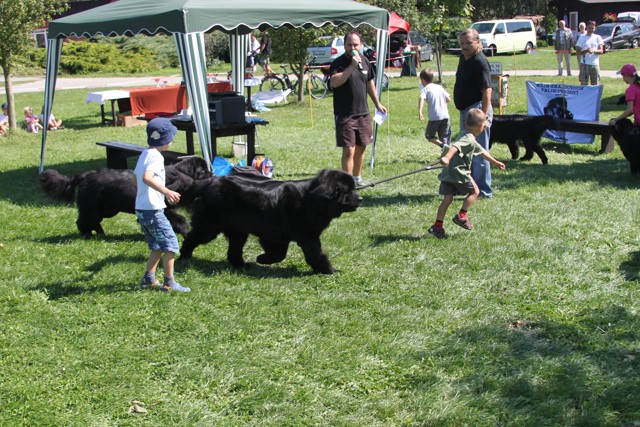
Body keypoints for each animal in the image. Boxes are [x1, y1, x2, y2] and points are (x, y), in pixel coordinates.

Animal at [40, 156, 212, 237]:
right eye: (203, 171)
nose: (213, 174)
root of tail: (84, 175)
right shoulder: (165, 210)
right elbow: (181, 220)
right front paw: (186, 232)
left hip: (107, 209)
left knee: (92, 221)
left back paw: (100, 233)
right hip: (93, 206)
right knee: (84, 220)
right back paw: (87, 235)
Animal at [180, 169, 362, 274]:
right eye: (348, 191)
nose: (360, 199)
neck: (310, 200)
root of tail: (211, 181)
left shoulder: (279, 236)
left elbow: (281, 254)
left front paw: (262, 259)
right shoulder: (304, 236)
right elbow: (314, 254)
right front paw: (329, 270)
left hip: (238, 229)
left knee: (234, 250)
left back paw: (242, 265)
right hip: (210, 226)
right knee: (192, 237)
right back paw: (184, 256)